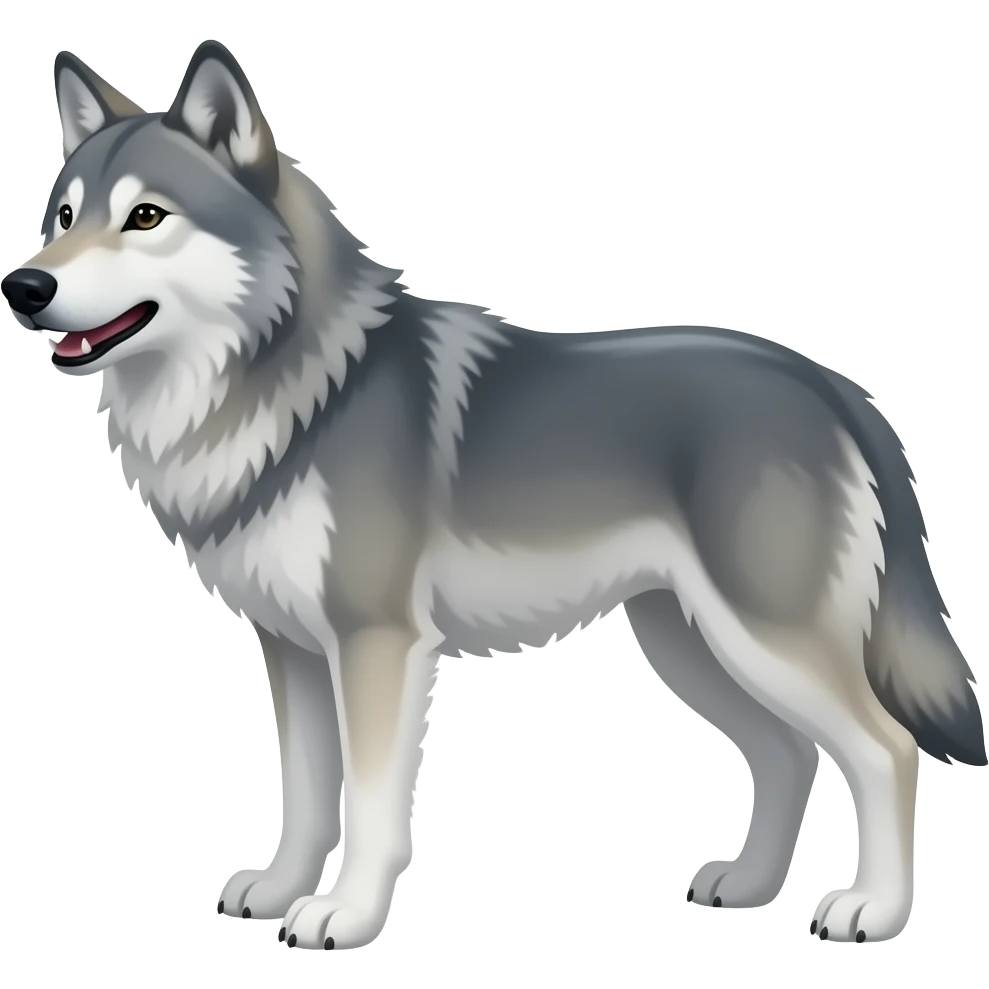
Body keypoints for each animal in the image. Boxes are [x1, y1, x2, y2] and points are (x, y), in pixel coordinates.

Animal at [3, 40, 985, 950]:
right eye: (62, 217)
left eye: (144, 217)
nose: (24, 285)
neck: (292, 390)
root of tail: (829, 384)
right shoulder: (291, 648)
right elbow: (307, 792)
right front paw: (282, 891)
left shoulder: (377, 643)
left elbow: (366, 804)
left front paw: (345, 916)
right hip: (691, 644)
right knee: (789, 752)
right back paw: (746, 885)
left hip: (760, 639)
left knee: (884, 749)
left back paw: (873, 909)